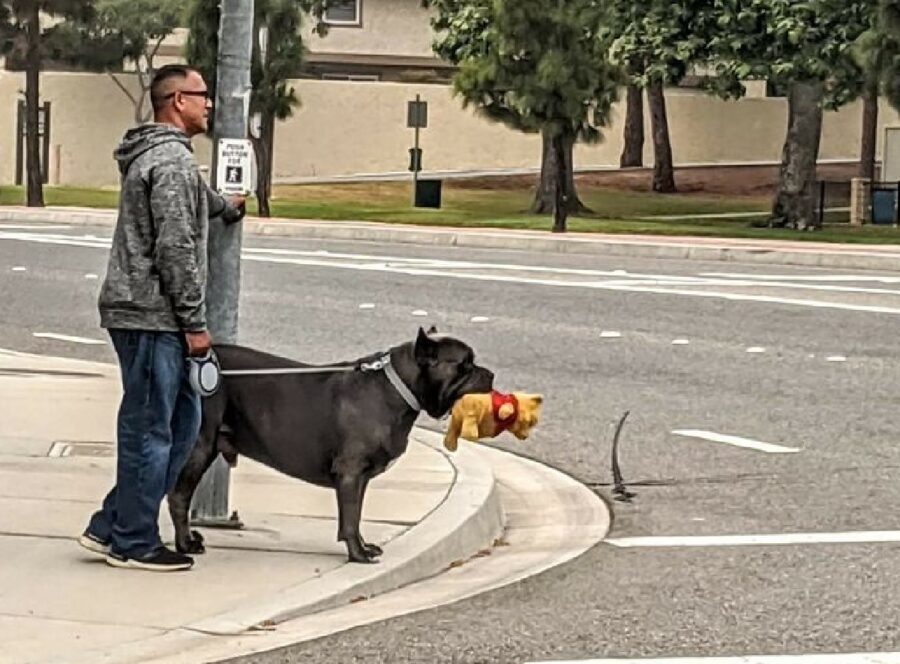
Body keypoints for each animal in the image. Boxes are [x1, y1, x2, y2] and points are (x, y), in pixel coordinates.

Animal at [168, 330, 492, 564]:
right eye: (465, 364)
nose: (490, 374)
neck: (396, 389)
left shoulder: (359, 478)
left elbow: (355, 515)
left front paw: (363, 545)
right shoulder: (350, 472)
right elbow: (349, 518)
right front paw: (358, 554)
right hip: (200, 447)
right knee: (178, 497)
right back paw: (186, 544)